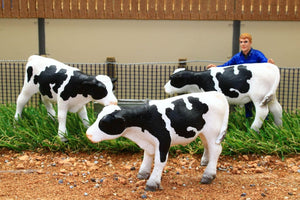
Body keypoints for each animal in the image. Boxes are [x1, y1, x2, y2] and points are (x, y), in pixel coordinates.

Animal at [86, 91, 230, 191]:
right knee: (207, 146)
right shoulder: (149, 142)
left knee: (216, 149)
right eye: (98, 117)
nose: (87, 134)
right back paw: (205, 161)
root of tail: (216, 94)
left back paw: (208, 175)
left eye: (104, 123)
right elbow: (147, 156)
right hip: (203, 132)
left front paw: (152, 182)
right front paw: (143, 173)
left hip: (213, 132)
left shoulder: (164, 140)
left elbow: (160, 161)